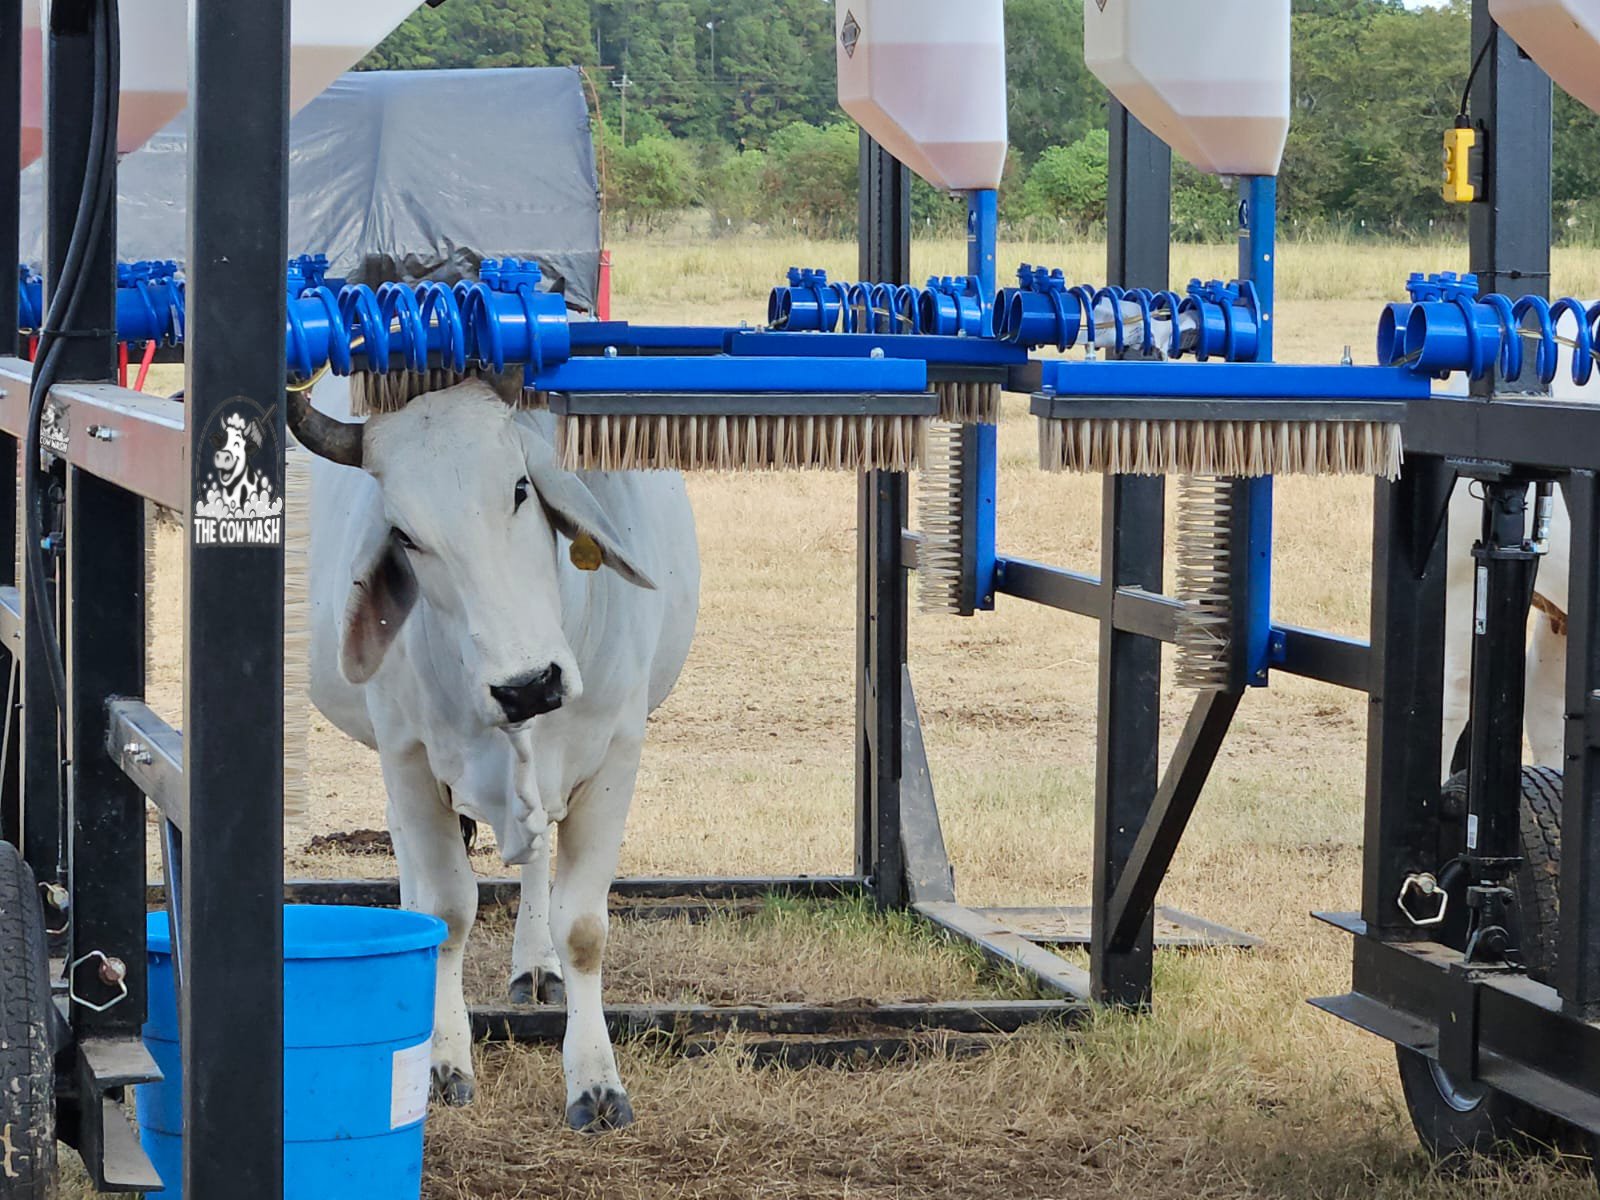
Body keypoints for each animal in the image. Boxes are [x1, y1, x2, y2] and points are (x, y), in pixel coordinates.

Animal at [289, 374, 700, 1131]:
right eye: (404, 534)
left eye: (518, 488)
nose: (528, 685)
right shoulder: (409, 756)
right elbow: (448, 912)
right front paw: (443, 1060)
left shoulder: (617, 756)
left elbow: (583, 927)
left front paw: (596, 1083)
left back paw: (534, 965)